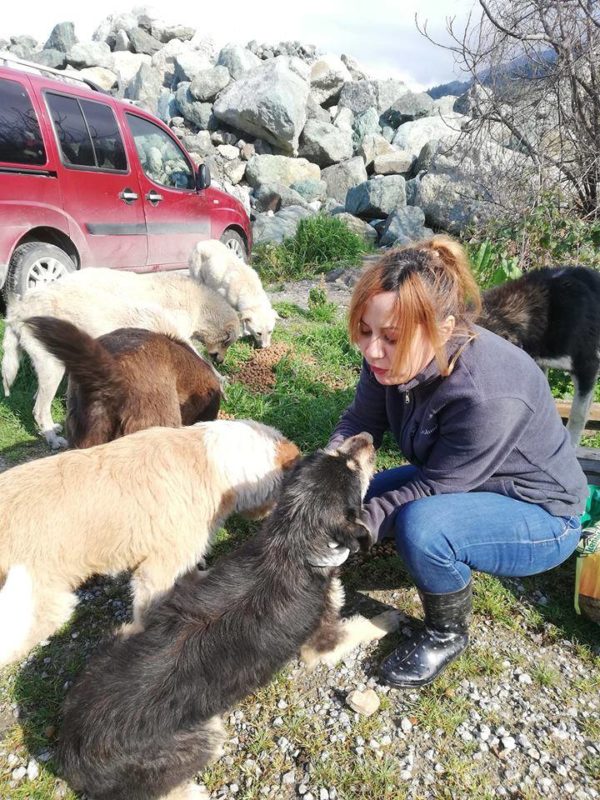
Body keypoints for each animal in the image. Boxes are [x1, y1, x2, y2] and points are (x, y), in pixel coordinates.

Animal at [0, 422, 298, 664]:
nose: (270, 515)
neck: (212, 462)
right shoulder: (155, 571)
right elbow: (148, 610)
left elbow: (190, 572)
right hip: (43, 605)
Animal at [57, 434, 398, 800]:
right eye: (352, 469)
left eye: (334, 452)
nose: (367, 437)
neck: (294, 539)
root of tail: (72, 757)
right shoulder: (321, 641)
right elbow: (359, 626)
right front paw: (388, 620)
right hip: (207, 735)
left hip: (123, 634)